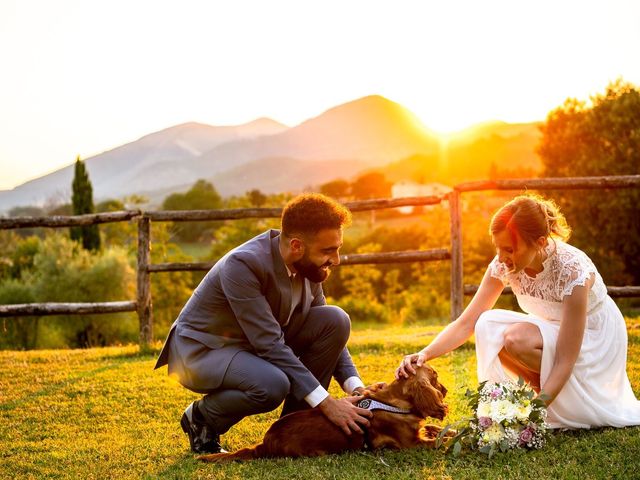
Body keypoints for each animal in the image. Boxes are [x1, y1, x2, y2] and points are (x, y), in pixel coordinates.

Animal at [198, 364, 452, 462]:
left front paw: (451, 431)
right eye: (436, 376)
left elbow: (437, 429)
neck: (396, 401)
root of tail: (265, 443)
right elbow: (438, 441)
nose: (446, 390)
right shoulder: (411, 444)